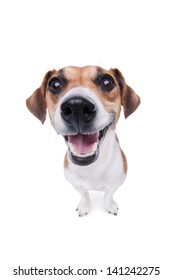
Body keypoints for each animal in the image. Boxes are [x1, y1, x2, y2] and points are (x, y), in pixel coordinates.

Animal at [26, 65, 140, 217]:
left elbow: (108, 194)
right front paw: (85, 206)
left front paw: (109, 205)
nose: (77, 106)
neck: (92, 168)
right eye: (55, 84)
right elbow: (84, 194)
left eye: (107, 82)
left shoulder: (115, 183)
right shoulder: (77, 185)